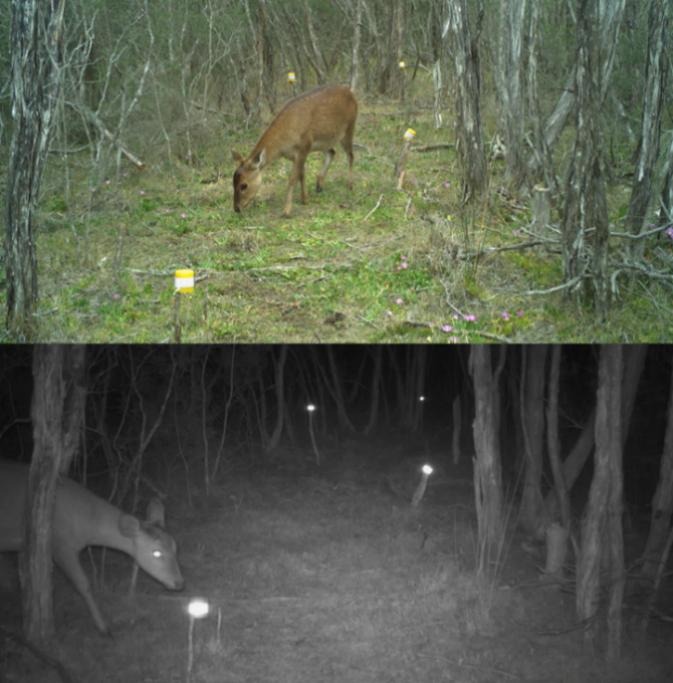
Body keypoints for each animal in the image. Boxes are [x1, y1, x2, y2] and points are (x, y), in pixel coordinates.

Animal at [231, 84, 356, 216]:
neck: (282, 148)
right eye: (232, 183)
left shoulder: (304, 146)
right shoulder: (294, 155)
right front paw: (304, 199)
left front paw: (286, 210)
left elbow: (292, 179)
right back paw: (319, 185)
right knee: (332, 152)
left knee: (350, 155)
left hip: (349, 128)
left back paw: (350, 185)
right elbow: (302, 174)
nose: (237, 208)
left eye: (244, 185)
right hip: (326, 140)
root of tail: (351, 93)